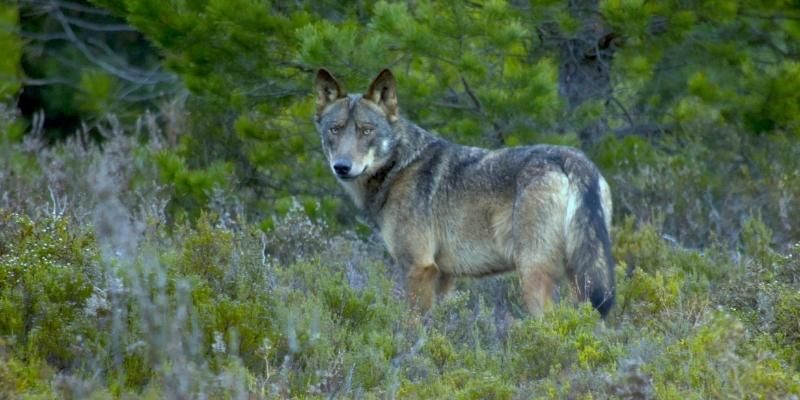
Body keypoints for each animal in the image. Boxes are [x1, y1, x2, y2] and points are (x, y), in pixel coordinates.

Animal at [310, 69, 612, 318]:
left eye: (366, 130)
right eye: (335, 130)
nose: (342, 166)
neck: (400, 166)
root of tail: (572, 158)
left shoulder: (418, 267)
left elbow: (411, 326)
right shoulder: (444, 275)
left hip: (533, 276)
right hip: (581, 280)